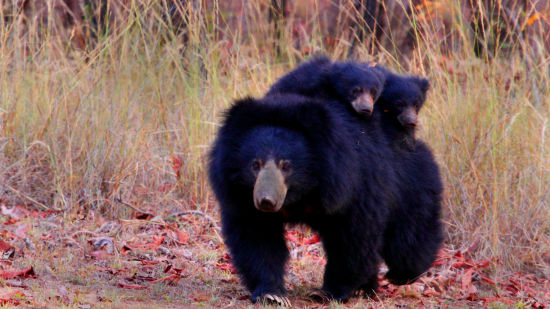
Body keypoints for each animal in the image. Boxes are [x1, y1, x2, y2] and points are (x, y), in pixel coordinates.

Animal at [209, 92, 446, 304]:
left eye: (286, 166)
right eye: (255, 165)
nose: (266, 201)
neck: (303, 194)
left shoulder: (353, 186)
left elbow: (352, 238)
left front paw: (328, 292)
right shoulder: (240, 196)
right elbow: (257, 238)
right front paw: (271, 294)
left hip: (411, 186)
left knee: (408, 241)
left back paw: (399, 275)